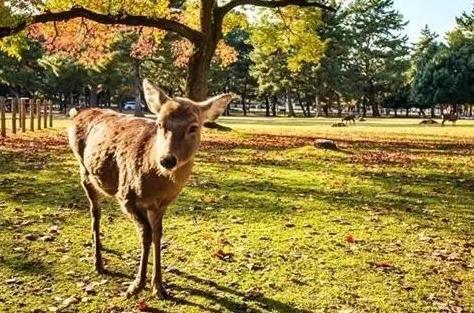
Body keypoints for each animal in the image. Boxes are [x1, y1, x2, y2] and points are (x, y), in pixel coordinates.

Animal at [68, 78, 233, 298]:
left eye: (193, 127)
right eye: (159, 124)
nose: (167, 159)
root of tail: (77, 114)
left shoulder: (160, 205)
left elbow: (157, 235)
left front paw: (159, 287)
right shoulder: (126, 196)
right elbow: (145, 234)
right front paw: (136, 286)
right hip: (84, 171)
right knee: (95, 212)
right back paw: (98, 262)